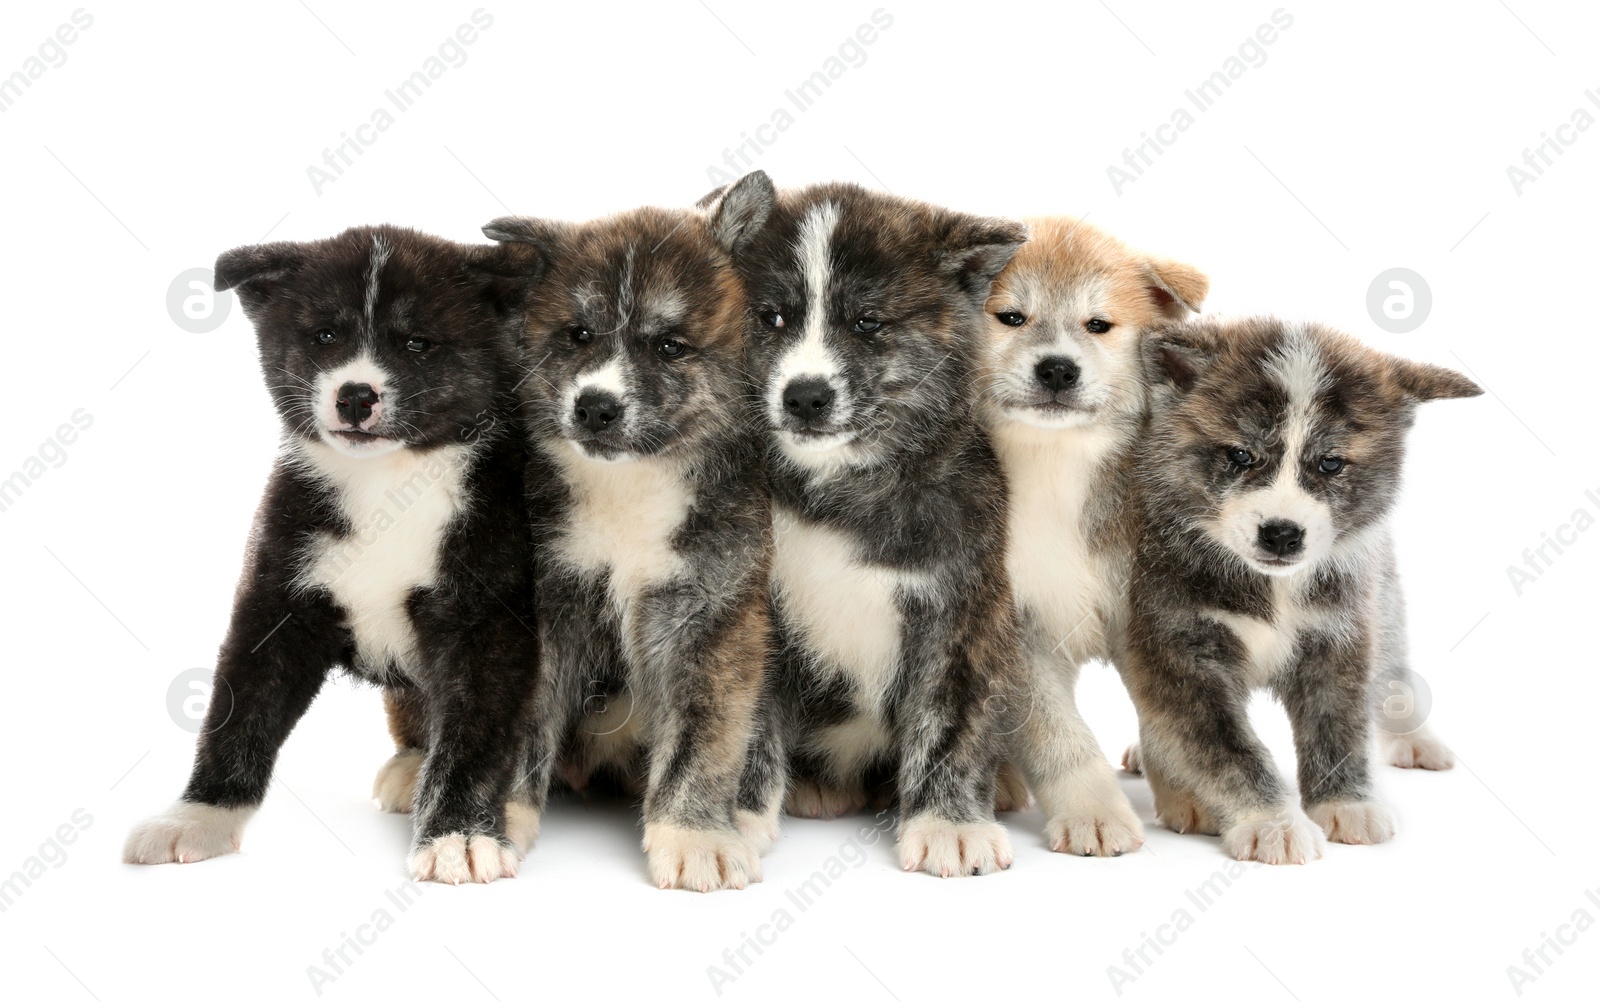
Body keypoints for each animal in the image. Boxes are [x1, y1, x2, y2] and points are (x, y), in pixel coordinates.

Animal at [1120, 318, 1478, 857]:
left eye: (1330, 463)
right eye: (1240, 455)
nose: (1282, 533)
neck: (1275, 587)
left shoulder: (1341, 634)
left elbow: (1340, 726)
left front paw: (1346, 803)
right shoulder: (1181, 649)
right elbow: (1228, 749)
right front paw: (1273, 822)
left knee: (1393, 666)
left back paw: (1417, 739)